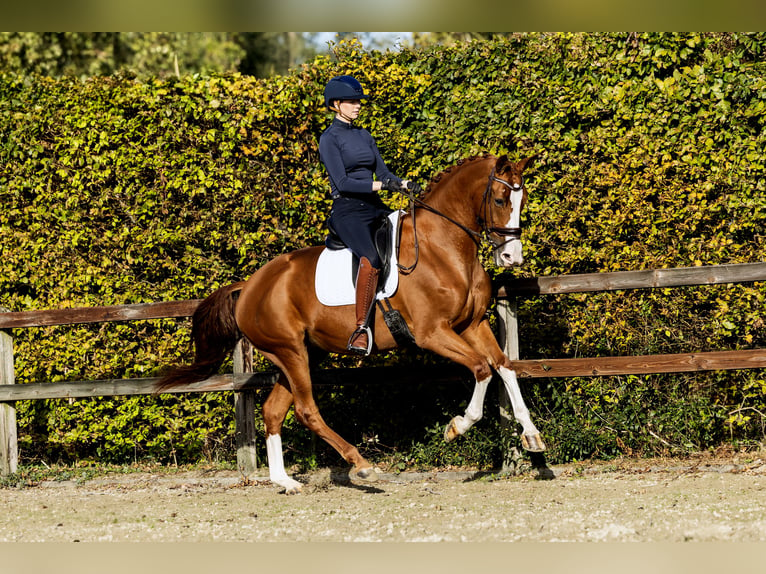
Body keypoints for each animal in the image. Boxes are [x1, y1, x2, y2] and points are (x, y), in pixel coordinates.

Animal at [159, 153, 544, 496]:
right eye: (499, 199)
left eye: (523, 199)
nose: (512, 257)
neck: (442, 246)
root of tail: (249, 286)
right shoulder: (432, 333)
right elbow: (481, 368)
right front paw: (457, 427)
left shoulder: (472, 325)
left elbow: (504, 367)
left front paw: (531, 435)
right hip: (290, 352)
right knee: (306, 411)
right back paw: (360, 464)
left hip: (300, 355)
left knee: (273, 411)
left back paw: (286, 482)